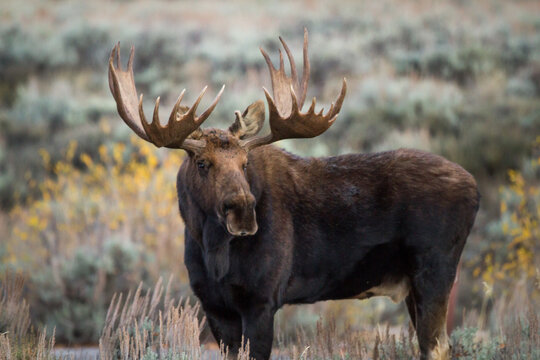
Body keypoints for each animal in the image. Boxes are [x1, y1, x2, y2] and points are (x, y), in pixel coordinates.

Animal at [107, 29, 478, 358]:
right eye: (202, 162)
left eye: (244, 162)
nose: (243, 212)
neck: (212, 249)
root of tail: (475, 187)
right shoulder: (214, 307)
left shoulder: (261, 300)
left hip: (435, 269)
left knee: (437, 346)